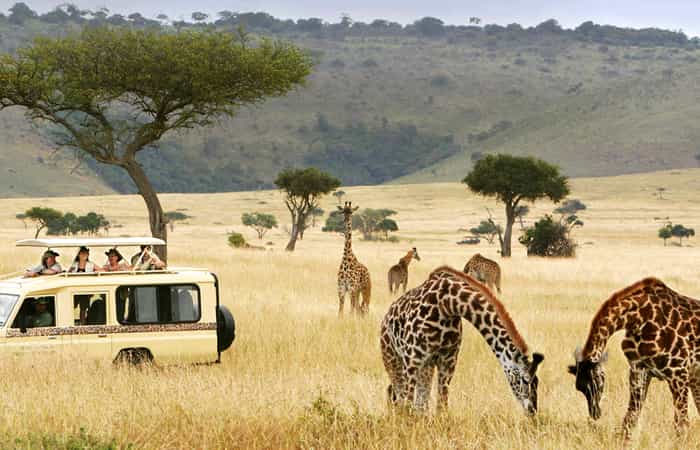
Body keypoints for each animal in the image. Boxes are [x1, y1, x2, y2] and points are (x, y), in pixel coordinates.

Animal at [380, 264, 544, 414]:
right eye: (524, 380)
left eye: (537, 381)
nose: (532, 410)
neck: (447, 305)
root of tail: (386, 317)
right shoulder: (412, 360)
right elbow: (407, 405)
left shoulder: (448, 361)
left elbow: (441, 406)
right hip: (393, 359)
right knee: (398, 396)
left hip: (426, 367)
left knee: (419, 403)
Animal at [568, 276, 700, 442]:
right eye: (579, 388)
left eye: (596, 382)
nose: (595, 413)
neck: (639, 319)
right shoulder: (639, 369)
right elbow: (630, 418)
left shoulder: (678, 371)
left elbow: (681, 423)